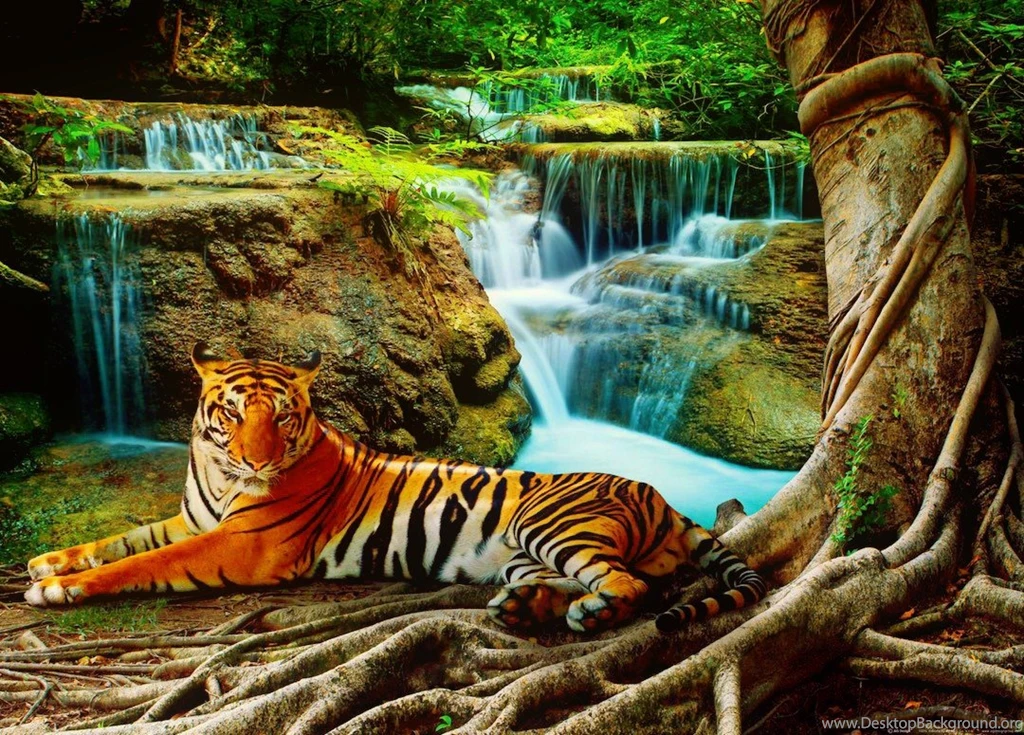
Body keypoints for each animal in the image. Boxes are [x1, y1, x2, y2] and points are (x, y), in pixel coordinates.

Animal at [25, 343, 767, 633]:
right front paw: (47, 563)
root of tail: (662, 497)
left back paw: (587, 612)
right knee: (577, 581)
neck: (216, 472)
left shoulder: (240, 545)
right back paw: (522, 607)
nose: (258, 462)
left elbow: (143, 562)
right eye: (232, 414)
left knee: (630, 585)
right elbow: (124, 539)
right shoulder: (194, 519)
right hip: (524, 553)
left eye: (282, 417)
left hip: (550, 524)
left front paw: (61, 588)